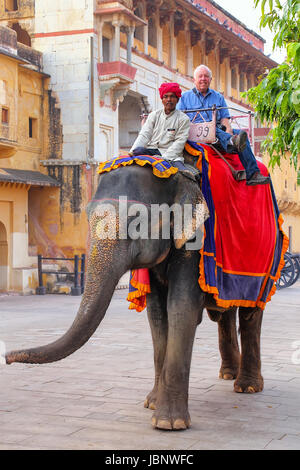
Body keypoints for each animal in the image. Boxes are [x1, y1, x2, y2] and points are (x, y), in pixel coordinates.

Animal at [1, 149, 286, 432]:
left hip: (267, 262)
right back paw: (227, 374)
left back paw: (247, 387)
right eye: (87, 217)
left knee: (251, 315)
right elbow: (157, 314)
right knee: (225, 313)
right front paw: (151, 403)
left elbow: (181, 306)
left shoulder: (197, 238)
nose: (7, 358)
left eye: (136, 222)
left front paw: (169, 423)